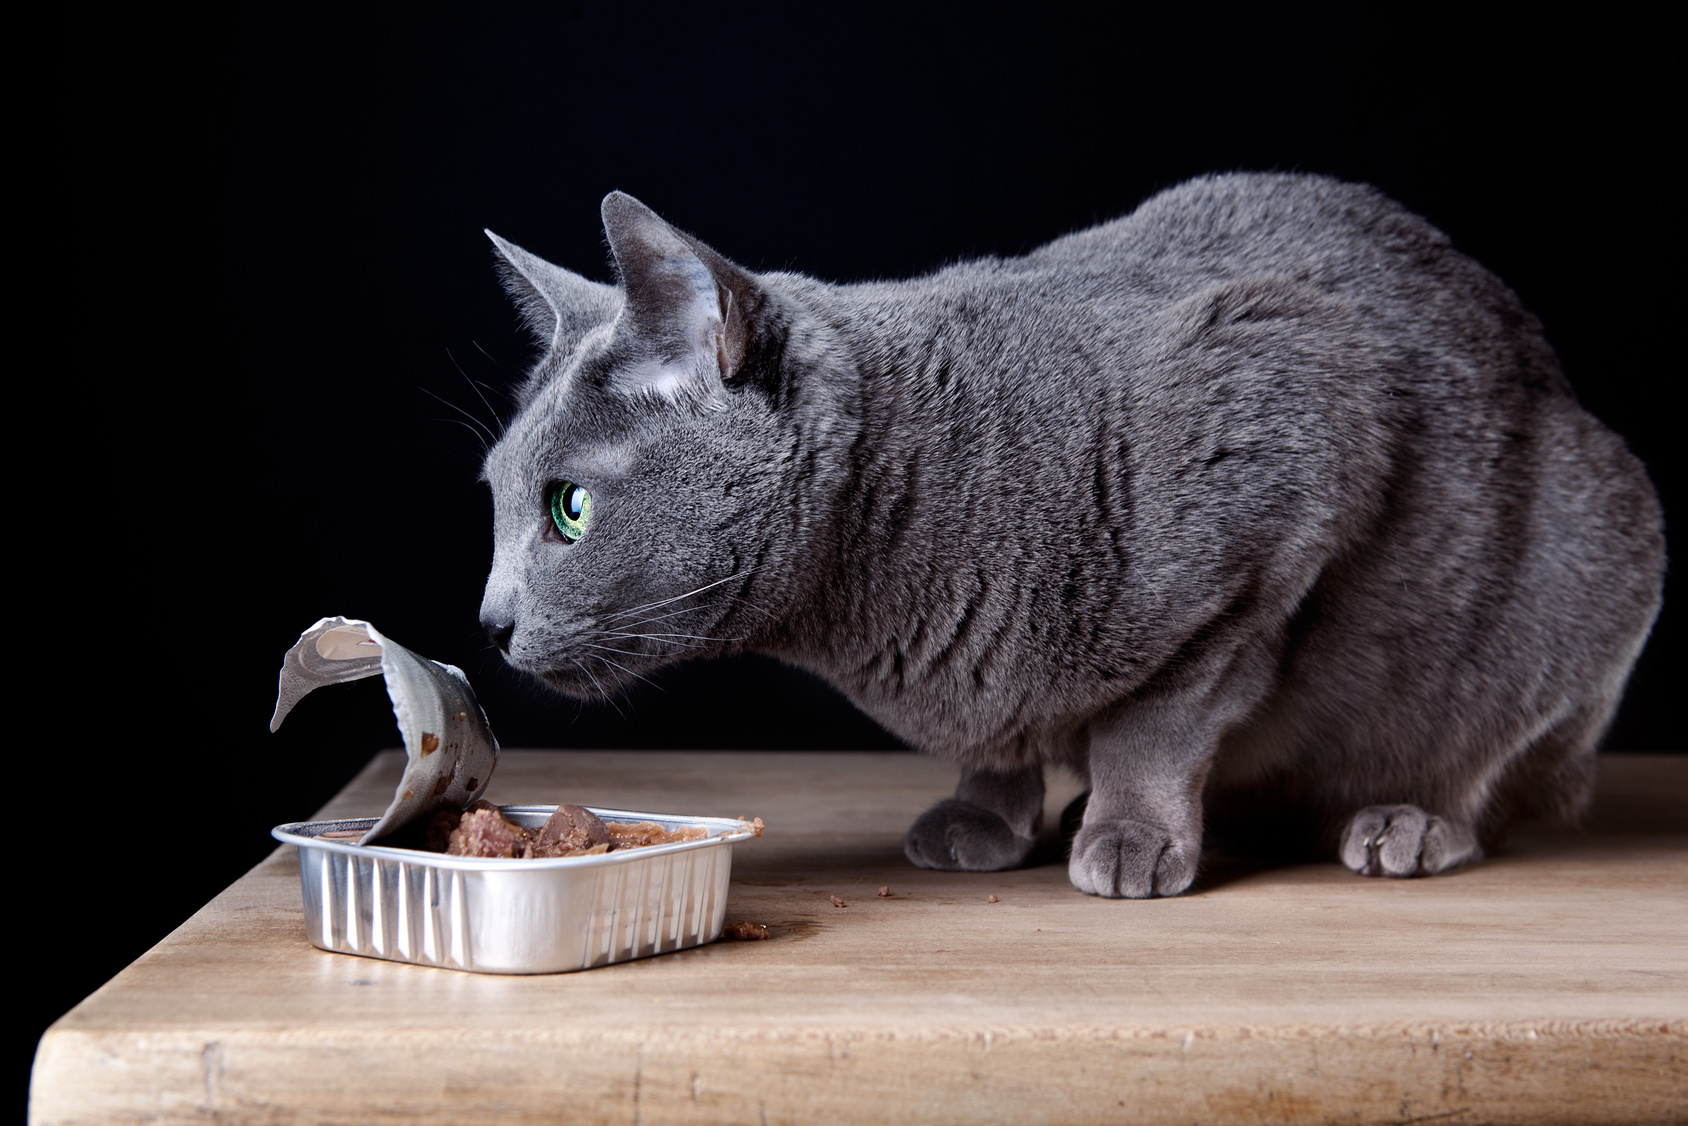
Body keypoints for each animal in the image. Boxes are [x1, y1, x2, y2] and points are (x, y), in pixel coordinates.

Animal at [476, 176, 1660, 898]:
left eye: (568, 508)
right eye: (492, 496)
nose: (485, 621)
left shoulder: (1284, 477)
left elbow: (1161, 722)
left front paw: (1131, 834)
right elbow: (997, 738)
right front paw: (984, 818)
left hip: (1590, 567)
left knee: (1491, 775)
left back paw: (1404, 822)